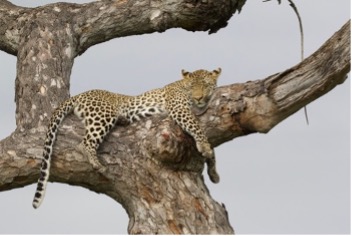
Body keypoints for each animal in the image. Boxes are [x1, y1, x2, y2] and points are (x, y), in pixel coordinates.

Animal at [32, 68, 220, 208]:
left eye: (206, 85)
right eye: (192, 87)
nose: (198, 97)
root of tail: (81, 95)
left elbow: (211, 151)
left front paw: (213, 171)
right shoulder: (179, 109)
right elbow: (195, 126)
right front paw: (204, 146)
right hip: (103, 115)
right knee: (85, 142)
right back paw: (97, 163)